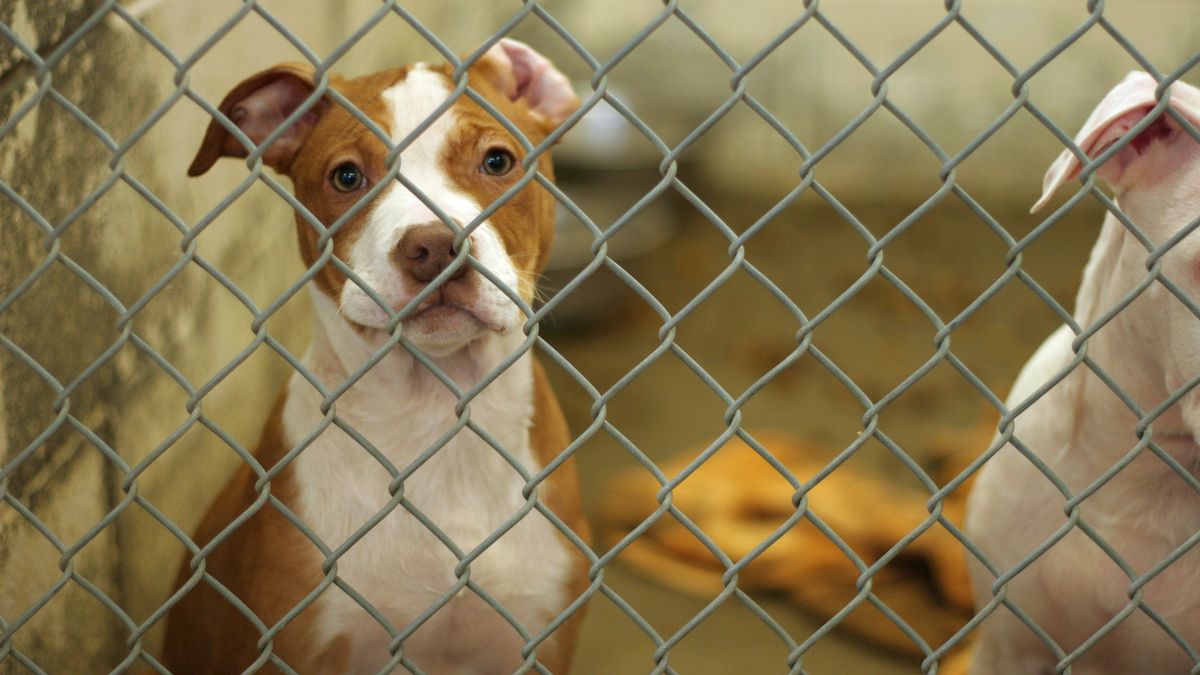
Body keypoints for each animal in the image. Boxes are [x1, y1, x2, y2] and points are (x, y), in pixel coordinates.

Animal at [159, 39, 590, 667]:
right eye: (346, 176)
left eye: (497, 162)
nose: (434, 248)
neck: (434, 416)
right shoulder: (295, 645)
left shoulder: (540, 639)